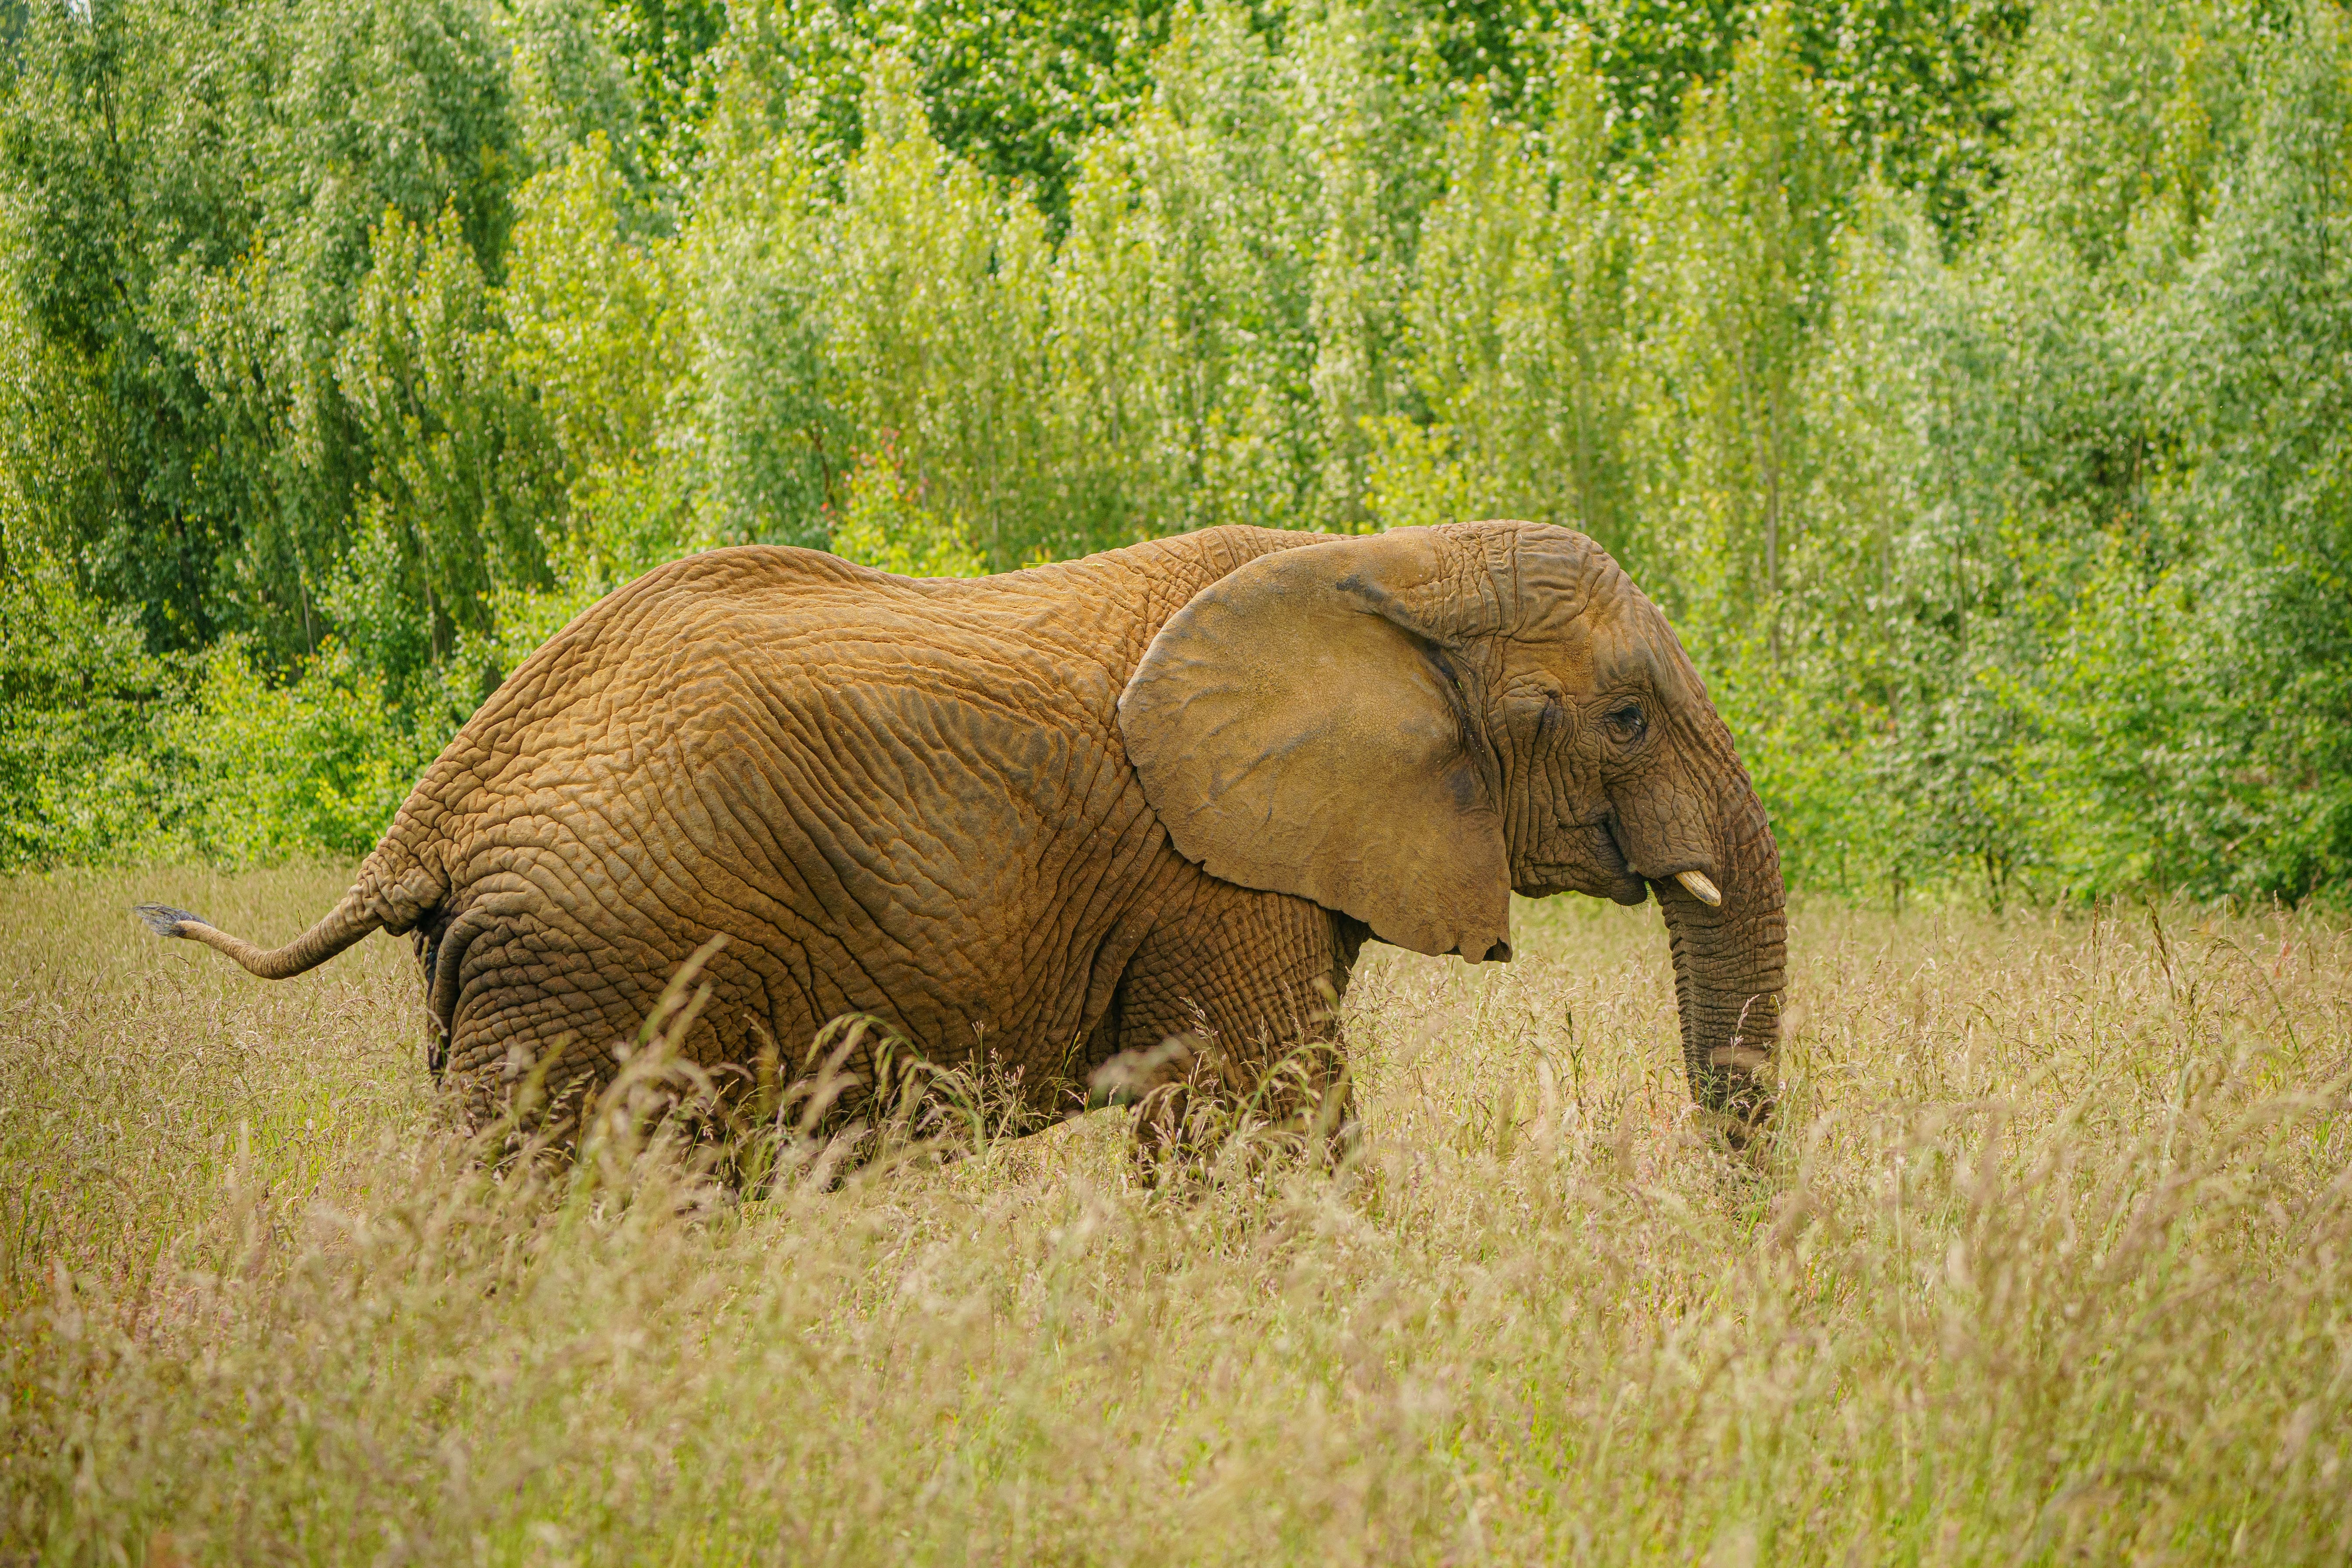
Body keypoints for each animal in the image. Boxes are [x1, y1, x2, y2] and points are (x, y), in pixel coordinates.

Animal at [137, 526, 1787, 1152]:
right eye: (1627, 717)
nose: (1735, 1219)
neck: (1389, 558)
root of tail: (433, 812)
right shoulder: (1208, 874)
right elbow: (1263, 1131)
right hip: (595, 955)